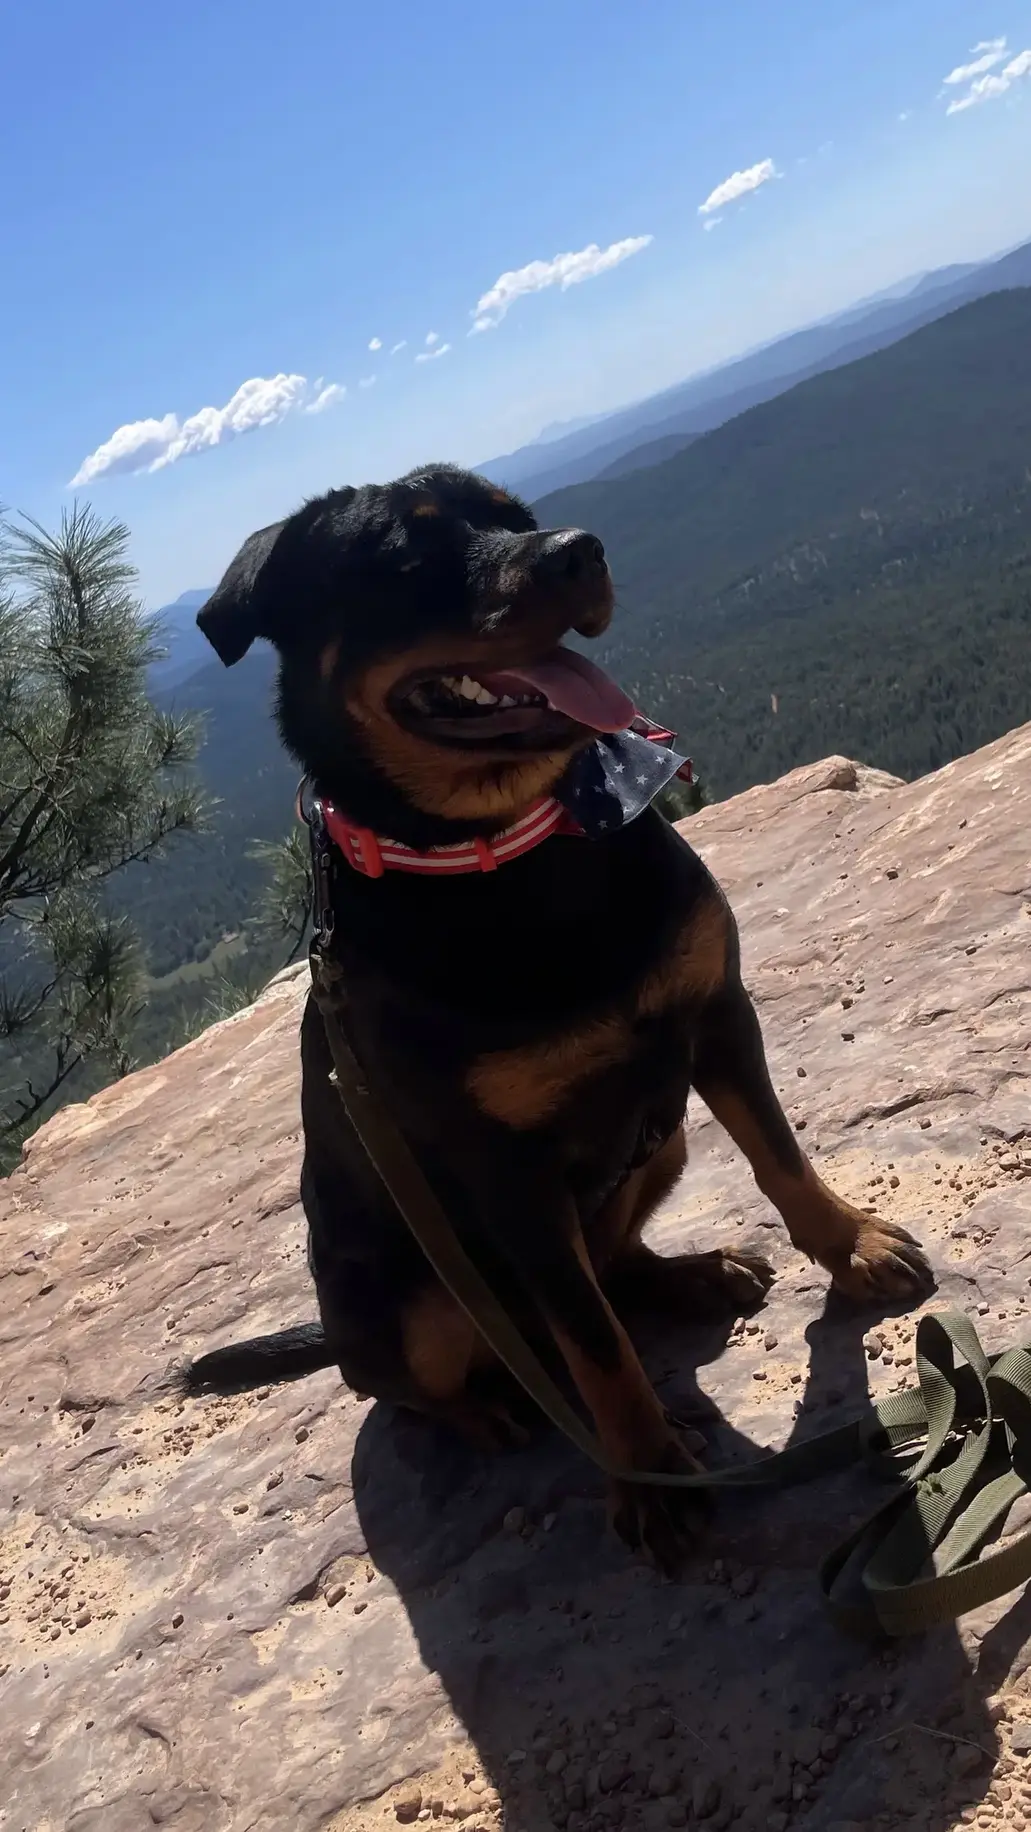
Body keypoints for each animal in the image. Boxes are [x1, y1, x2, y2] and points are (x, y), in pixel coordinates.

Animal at [185, 465, 937, 1568]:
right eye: (404, 557)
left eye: (515, 514)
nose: (578, 551)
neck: (515, 856)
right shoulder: (508, 1176)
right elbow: (592, 1346)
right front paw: (647, 1471)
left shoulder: (714, 1015)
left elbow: (777, 1153)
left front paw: (847, 1243)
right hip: (411, 1298)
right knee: (418, 1379)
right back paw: (488, 1409)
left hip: (659, 1138)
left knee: (613, 1266)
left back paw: (690, 1274)